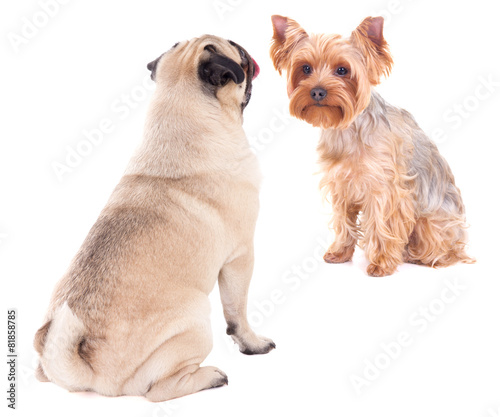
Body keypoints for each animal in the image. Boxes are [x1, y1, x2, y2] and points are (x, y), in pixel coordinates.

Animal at [33, 35, 274, 400]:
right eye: (236, 49)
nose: (247, 52)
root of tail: (88, 372)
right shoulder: (241, 257)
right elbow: (238, 312)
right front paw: (252, 344)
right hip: (197, 316)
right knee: (158, 390)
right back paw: (209, 377)